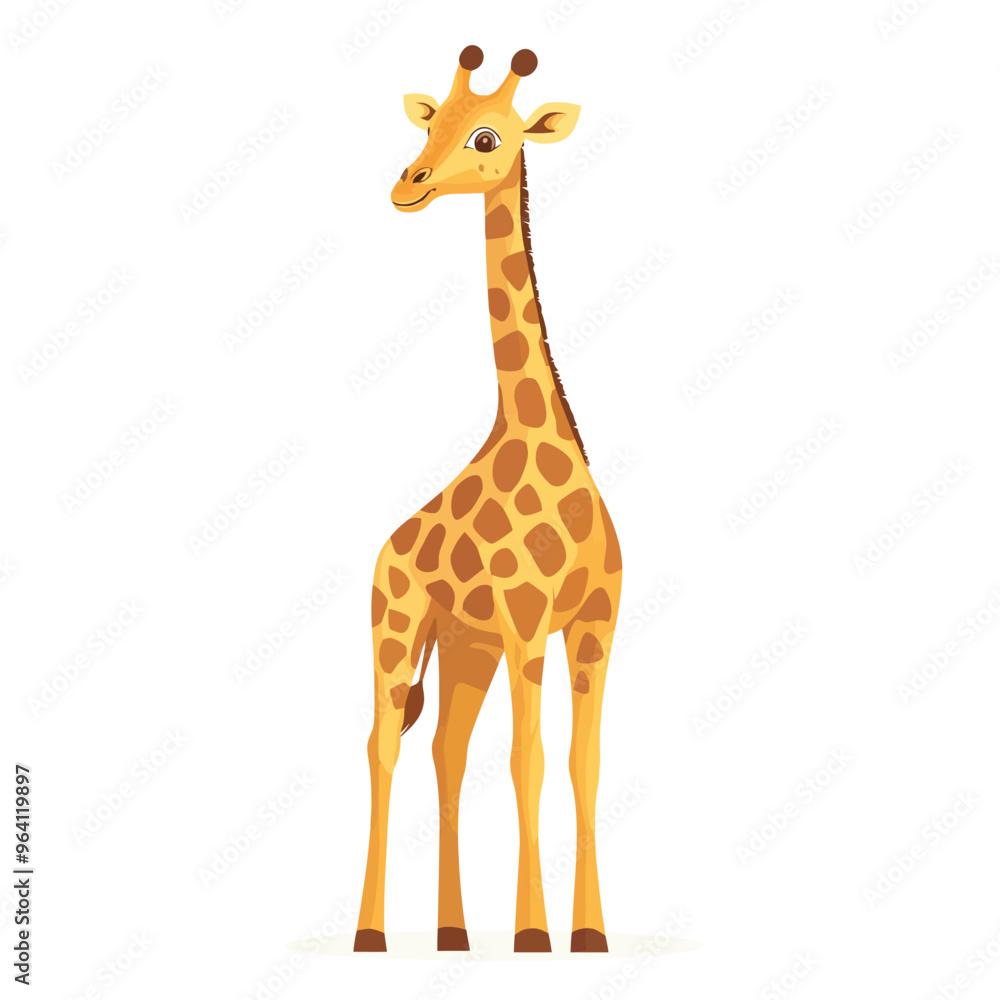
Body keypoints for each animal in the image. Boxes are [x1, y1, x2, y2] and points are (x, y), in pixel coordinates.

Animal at [354, 46, 622, 955]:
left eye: (485, 136)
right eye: (427, 121)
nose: (408, 183)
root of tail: (385, 551)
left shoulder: (592, 625)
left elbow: (579, 764)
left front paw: (588, 935)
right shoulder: (525, 622)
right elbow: (528, 761)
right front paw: (535, 934)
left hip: (463, 647)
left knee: (444, 749)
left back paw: (452, 933)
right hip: (397, 629)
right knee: (383, 748)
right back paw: (371, 935)